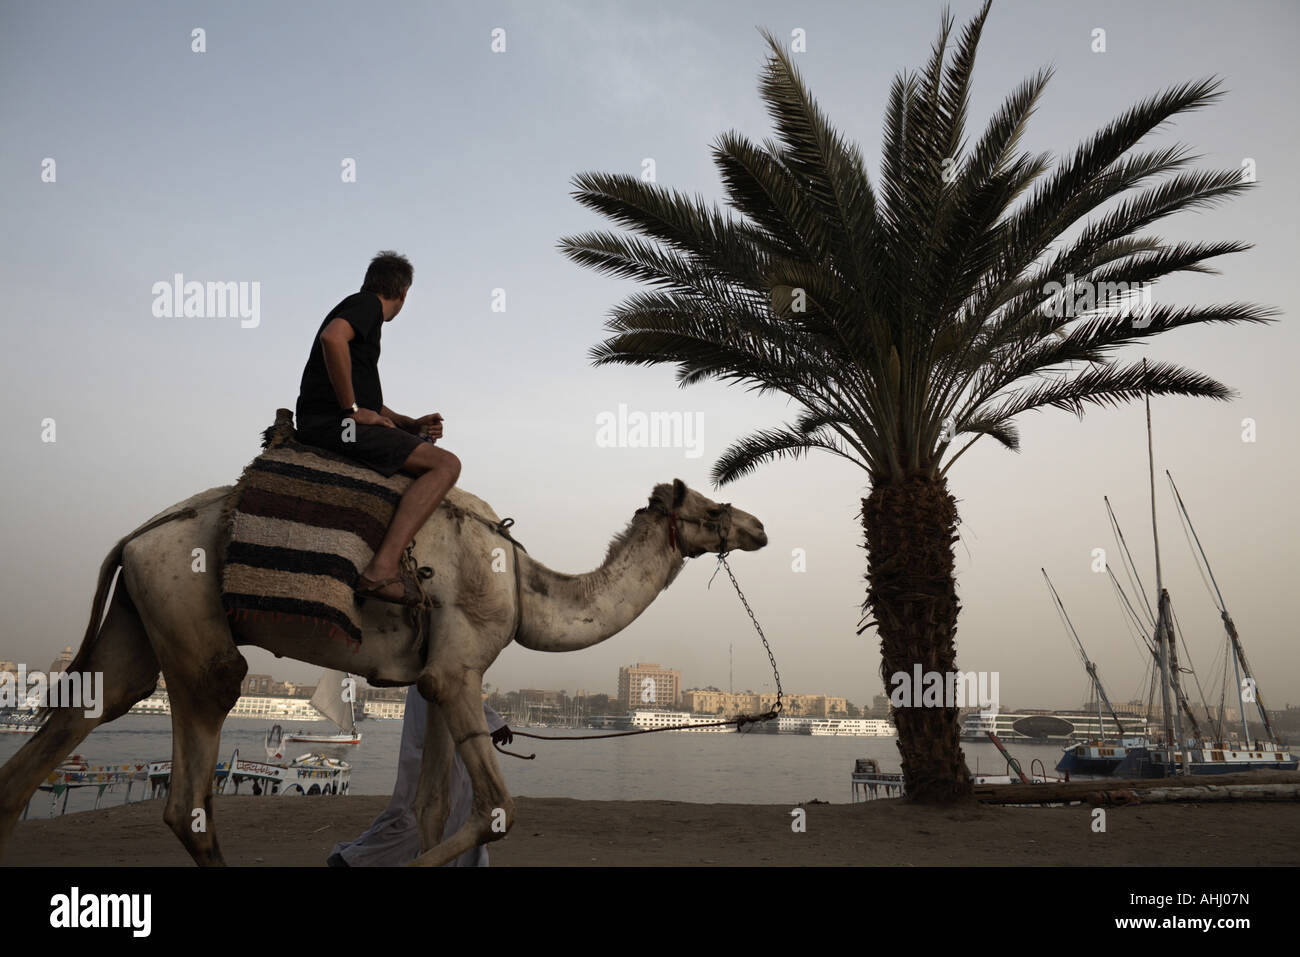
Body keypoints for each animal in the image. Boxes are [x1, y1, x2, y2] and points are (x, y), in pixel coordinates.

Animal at [0, 475, 764, 863]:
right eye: (713, 505)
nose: (757, 527)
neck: (523, 586)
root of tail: (132, 536)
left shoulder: (440, 680)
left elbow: (429, 811)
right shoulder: (457, 672)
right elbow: (495, 810)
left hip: (140, 615)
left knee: (84, 714)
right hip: (188, 612)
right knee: (189, 783)